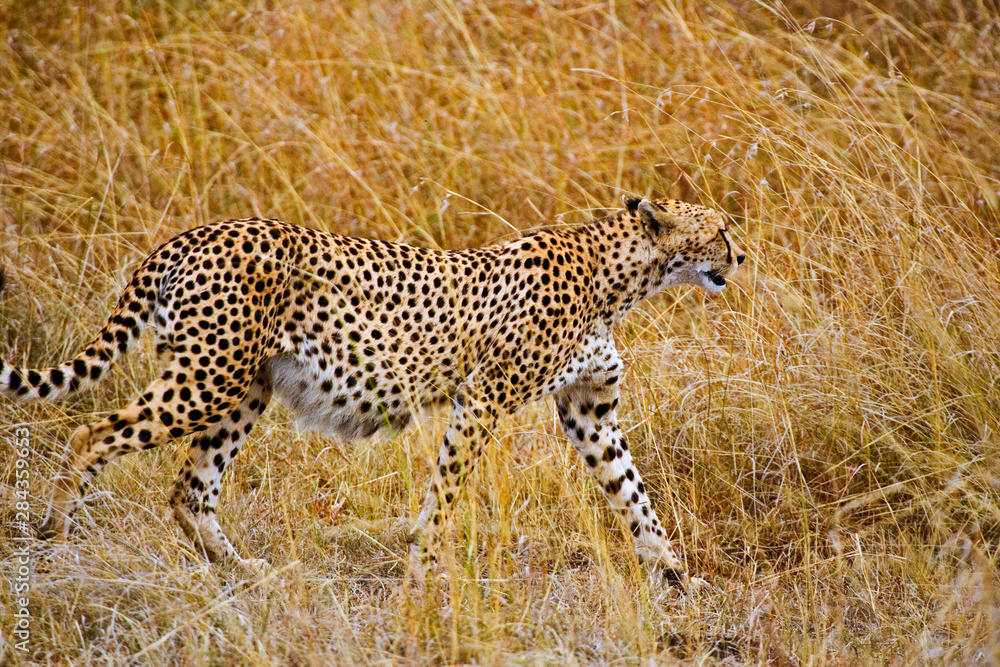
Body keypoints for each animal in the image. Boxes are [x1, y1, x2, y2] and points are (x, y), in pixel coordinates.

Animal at [0, 195, 744, 589]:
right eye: (719, 230)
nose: (740, 255)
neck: (621, 277)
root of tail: (192, 233)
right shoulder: (482, 400)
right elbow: (444, 495)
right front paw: (426, 573)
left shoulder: (589, 412)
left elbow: (636, 497)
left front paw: (677, 575)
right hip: (208, 377)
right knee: (91, 431)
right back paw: (55, 534)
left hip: (243, 387)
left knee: (190, 486)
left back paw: (245, 571)